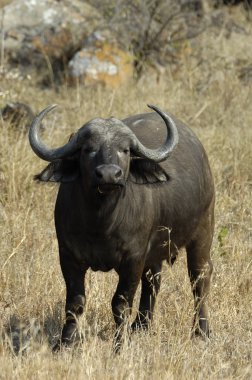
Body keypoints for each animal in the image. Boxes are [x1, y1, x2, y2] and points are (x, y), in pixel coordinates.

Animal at [29, 104, 215, 350]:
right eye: (87, 149)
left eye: (125, 150)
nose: (109, 174)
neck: (101, 223)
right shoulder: (68, 256)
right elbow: (75, 303)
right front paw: (64, 343)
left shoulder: (132, 259)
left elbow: (120, 303)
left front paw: (119, 345)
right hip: (155, 251)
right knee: (153, 281)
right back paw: (141, 325)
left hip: (203, 232)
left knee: (199, 279)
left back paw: (201, 331)